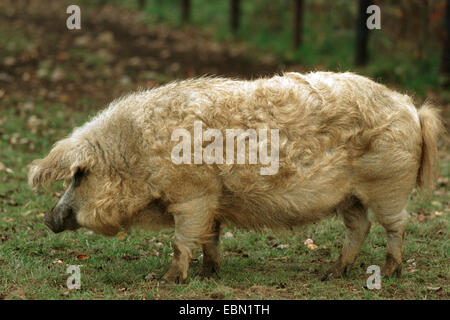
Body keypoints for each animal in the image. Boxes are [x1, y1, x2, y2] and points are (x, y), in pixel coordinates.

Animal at [28, 72, 442, 282]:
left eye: (79, 176)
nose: (48, 218)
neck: (138, 154)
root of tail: (412, 108)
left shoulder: (193, 195)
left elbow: (181, 241)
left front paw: (166, 280)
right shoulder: (212, 201)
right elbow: (210, 237)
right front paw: (210, 274)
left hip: (388, 183)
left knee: (396, 224)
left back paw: (389, 272)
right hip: (350, 196)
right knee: (359, 226)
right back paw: (331, 273)